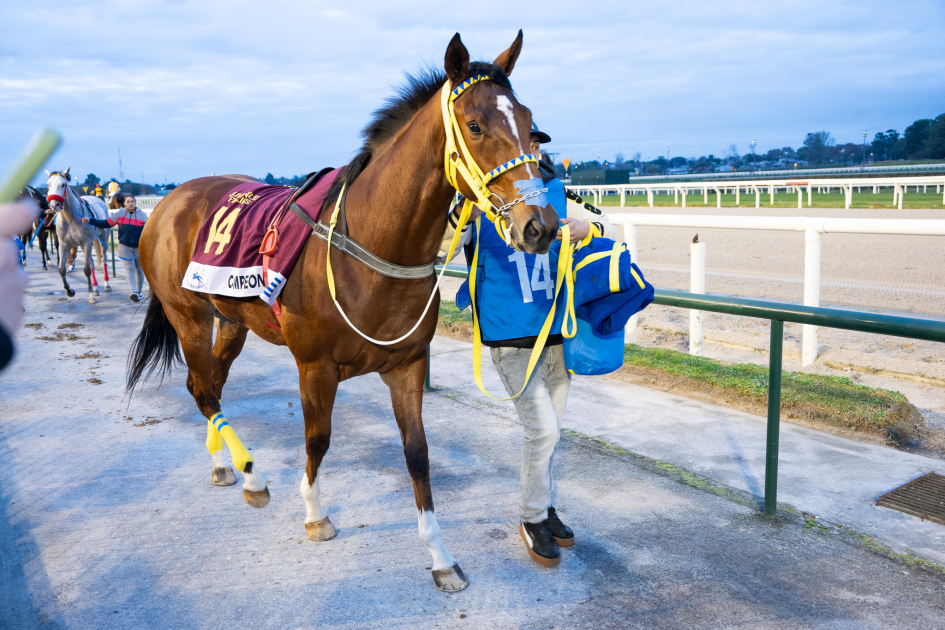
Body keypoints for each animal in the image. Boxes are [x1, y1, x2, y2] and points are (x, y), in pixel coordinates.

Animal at [45, 169, 112, 302]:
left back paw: (106, 285)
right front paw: (70, 291)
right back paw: (95, 288)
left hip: (103, 237)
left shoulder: (86, 243)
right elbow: (61, 269)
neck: (71, 219)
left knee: (104, 258)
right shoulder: (64, 244)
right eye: (48, 184)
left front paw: (90, 296)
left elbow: (86, 269)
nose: (54, 205)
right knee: (92, 261)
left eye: (63, 184)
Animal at [126, 31, 557, 592]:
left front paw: (440, 556)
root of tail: (167, 201)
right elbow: (318, 439)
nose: (540, 225)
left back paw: (224, 464)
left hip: (232, 320)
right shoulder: (316, 366)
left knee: (209, 385)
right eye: (476, 125)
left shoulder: (407, 365)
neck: (372, 245)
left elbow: (418, 455)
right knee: (203, 388)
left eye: (529, 123)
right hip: (190, 317)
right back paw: (251, 474)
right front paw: (314, 513)